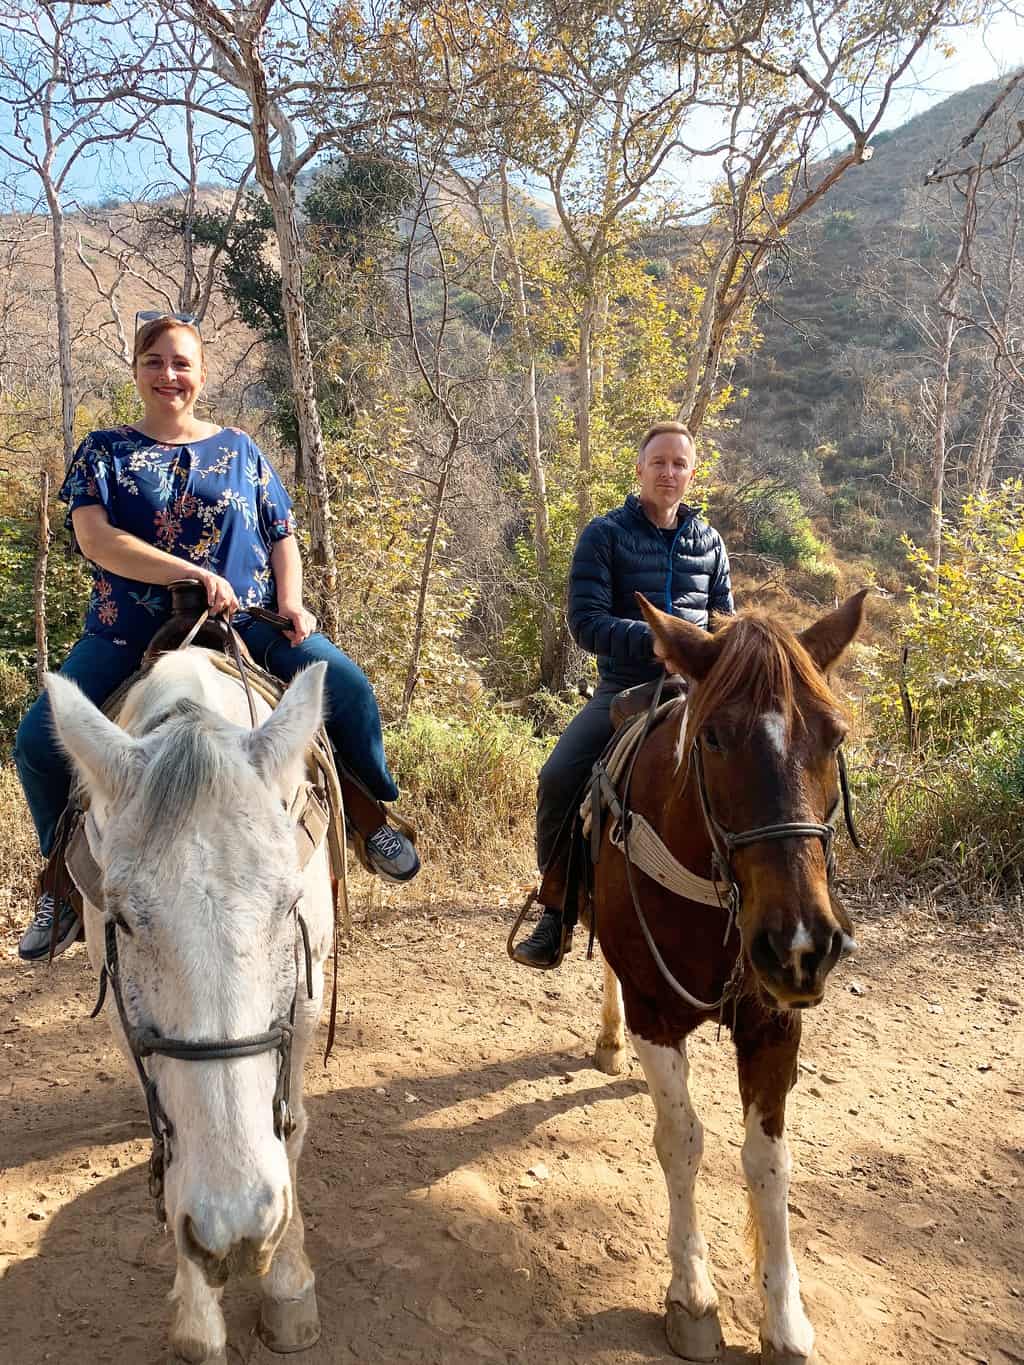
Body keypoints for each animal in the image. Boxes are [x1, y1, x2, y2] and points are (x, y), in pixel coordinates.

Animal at [48, 649, 333, 1365]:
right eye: (123, 920)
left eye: (288, 906)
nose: (237, 1229)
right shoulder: (125, 1021)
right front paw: (200, 1322)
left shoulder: (303, 1008)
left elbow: (290, 1130)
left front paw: (288, 1289)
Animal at [592, 592, 868, 1365]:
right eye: (713, 738)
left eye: (834, 736)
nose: (801, 944)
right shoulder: (656, 1013)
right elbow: (681, 1142)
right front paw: (691, 1295)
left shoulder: (775, 1025)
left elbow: (768, 1163)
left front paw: (784, 1320)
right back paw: (608, 1040)